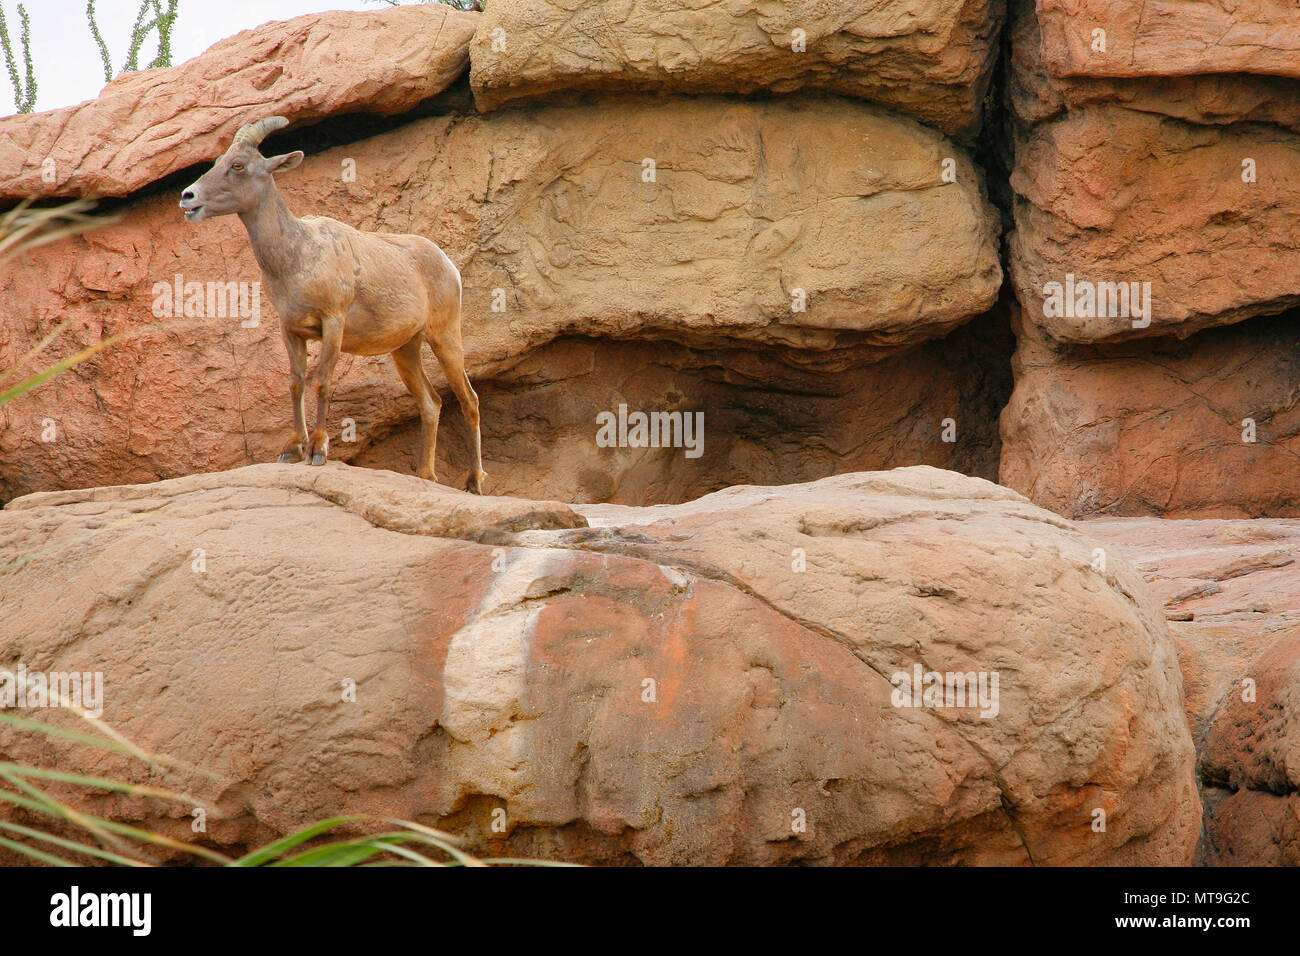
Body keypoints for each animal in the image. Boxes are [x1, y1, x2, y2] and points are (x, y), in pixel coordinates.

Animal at [178, 113, 488, 494]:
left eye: (238, 165)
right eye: (218, 162)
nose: (188, 196)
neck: (297, 258)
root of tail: (449, 266)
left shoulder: (333, 323)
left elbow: (323, 381)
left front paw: (318, 450)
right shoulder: (291, 330)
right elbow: (296, 382)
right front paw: (292, 449)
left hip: (445, 336)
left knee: (469, 400)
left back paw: (473, 483)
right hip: (405, 349)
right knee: (432, 402)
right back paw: (425, 476)